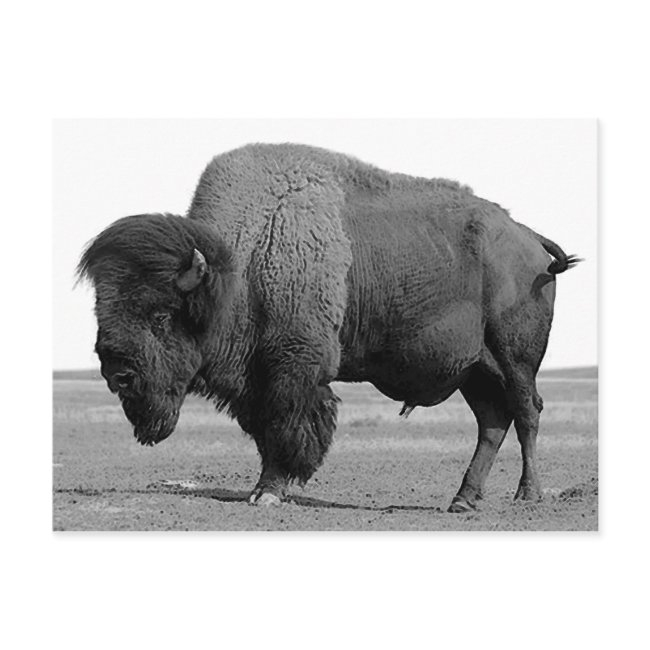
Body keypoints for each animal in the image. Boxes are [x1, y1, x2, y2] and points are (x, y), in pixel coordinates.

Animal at [78, 143, 580, 512]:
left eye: (162, 315)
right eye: (102, 309)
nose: (117, 374)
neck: (244, 262)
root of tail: (528, 237)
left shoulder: (294, 369)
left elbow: (287, 427)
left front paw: (269, 493)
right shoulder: (258, 380)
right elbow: (265, 431)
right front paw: (262, 489)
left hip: (515, 360)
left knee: (527, 413)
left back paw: (527, 494)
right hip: (474, 370)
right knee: (492, 422)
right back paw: (462, 501)